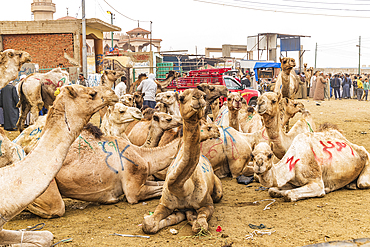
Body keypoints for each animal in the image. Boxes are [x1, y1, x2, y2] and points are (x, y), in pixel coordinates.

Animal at [142, 88, 223, 233]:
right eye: (181, 97)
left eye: (204, 95)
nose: (198, 97)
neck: (183, 188)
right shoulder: (164, 204)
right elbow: (148, 224)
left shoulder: (207, 204)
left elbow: (200, 225)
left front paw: (194, 219)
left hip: (217, 189)